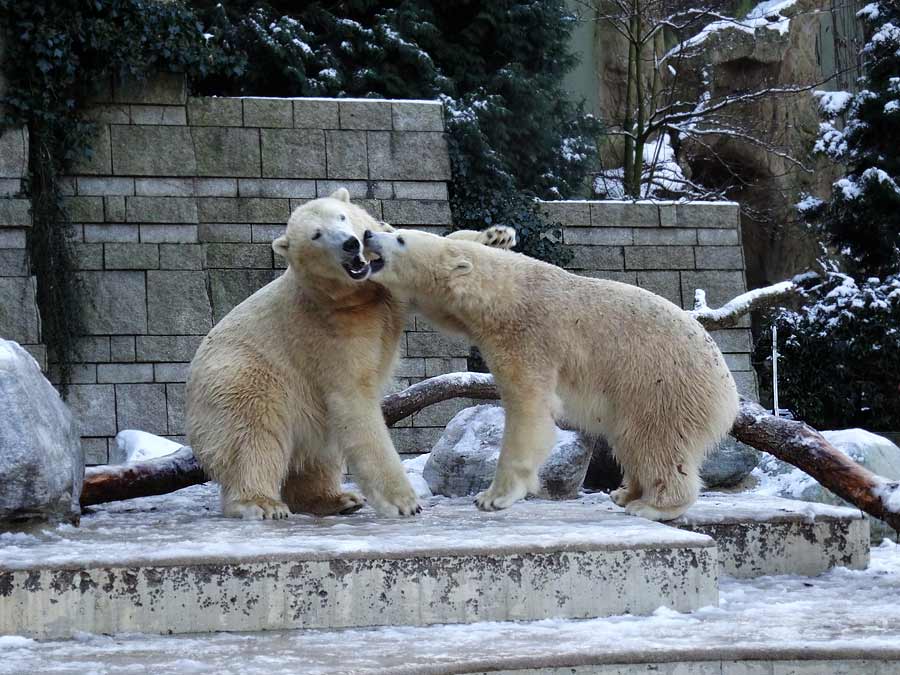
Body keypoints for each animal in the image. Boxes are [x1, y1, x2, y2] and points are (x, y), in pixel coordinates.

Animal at [185, 190, 512, 524]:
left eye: (341, 216)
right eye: (316, 235)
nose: (350, 243)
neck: (356, 293)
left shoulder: (387, 290)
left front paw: (495, 237)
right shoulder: (331, 330)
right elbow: (354, 400)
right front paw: (402, 501)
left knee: (317, 451)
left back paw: (337, 499)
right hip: (244, 382)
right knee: (253, 440)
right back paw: (262, 503)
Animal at [362, 230, 740, 520]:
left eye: (399, 238)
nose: (367, 234)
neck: (505, 292)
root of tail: (728, 391)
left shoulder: (529, 338)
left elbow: (529, 410)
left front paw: (493, 497)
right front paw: (495, 235)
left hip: (661, 384)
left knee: (656, 442)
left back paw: (653, 506)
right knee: (630, 440)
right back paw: (625, 493)